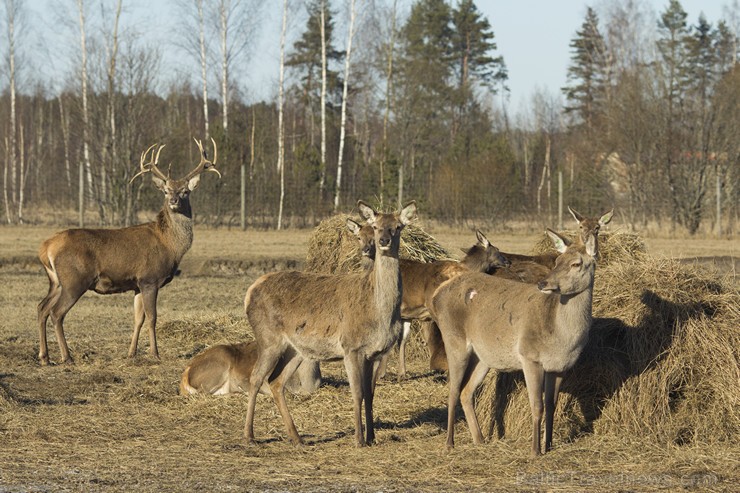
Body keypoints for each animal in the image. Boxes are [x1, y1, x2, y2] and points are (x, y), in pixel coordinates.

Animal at [36, 138, 220, 366]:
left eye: (185, 191)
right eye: (166, 190)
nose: (174, 201)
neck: (170, 245)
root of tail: (46, 247)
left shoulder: (137, 284)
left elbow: (138, 318)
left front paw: (131, 353)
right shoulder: (150, 278)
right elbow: (152, 317)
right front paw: (155, 354)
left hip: (55, 281)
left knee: (41, 307)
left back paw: (44, 357)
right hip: (74, 280)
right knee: (56, 313)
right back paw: (66, 356)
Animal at [243, 200, 416, 446]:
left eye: (398, 226)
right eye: (375, 226)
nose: (383, 240)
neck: (379, 315)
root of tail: (249, 292)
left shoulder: (375, 353)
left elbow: (371, 394)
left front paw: (372, 437)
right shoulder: (351, 347)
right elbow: (357, 393)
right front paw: (358, 439)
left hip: (296, 349)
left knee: (276, 381)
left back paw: (296, 437)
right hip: (268, 338)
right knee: (256, 377)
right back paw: (249, 435)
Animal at [346, 221, 512, 378]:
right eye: (359, 237)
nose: (508, 261)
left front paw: (382, 373)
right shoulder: (407, 314)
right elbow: (401, 340)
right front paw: (400, 373)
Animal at [430, 229, 600, 456]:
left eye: (576, 263)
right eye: (557, 260)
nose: (543, 283)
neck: (561, 338)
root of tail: (436, 295)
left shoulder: (560, 366)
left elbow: (551, 405)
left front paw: (549, 444)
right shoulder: (530, 356)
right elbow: (537, 405)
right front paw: (535, 450)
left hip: (483, 355)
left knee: (466, 391)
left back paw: (480, 439)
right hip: (454, 339)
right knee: (453, 389)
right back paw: (450, 443)